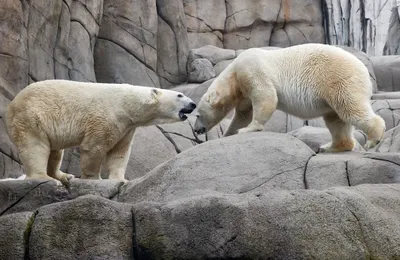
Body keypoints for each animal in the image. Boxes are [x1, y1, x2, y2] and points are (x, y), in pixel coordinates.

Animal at [6, 80, 197, 184]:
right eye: (180, 95)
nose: (193, 104)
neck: (126, 103)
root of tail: (12, 105)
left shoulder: (127, 126)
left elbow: (120, 152)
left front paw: (121, 179)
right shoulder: (106, 116)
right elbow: (95, 147)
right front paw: (94, 178)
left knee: (55, 152)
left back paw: (64, 175)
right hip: (31, 117)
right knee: (35, 147)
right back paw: (45, 177)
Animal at [195, 43, 386, 152]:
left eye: (197, 114)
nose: (197, 130)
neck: (233, 73)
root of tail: (363, 69)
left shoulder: (251, 70)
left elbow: (266, 97)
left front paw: (248, 129)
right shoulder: (243, 92)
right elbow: (242, 114)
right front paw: (228, 134)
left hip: (338, 80)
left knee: (350, 108)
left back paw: (373, 139)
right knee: (335, 120)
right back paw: (330, 146)